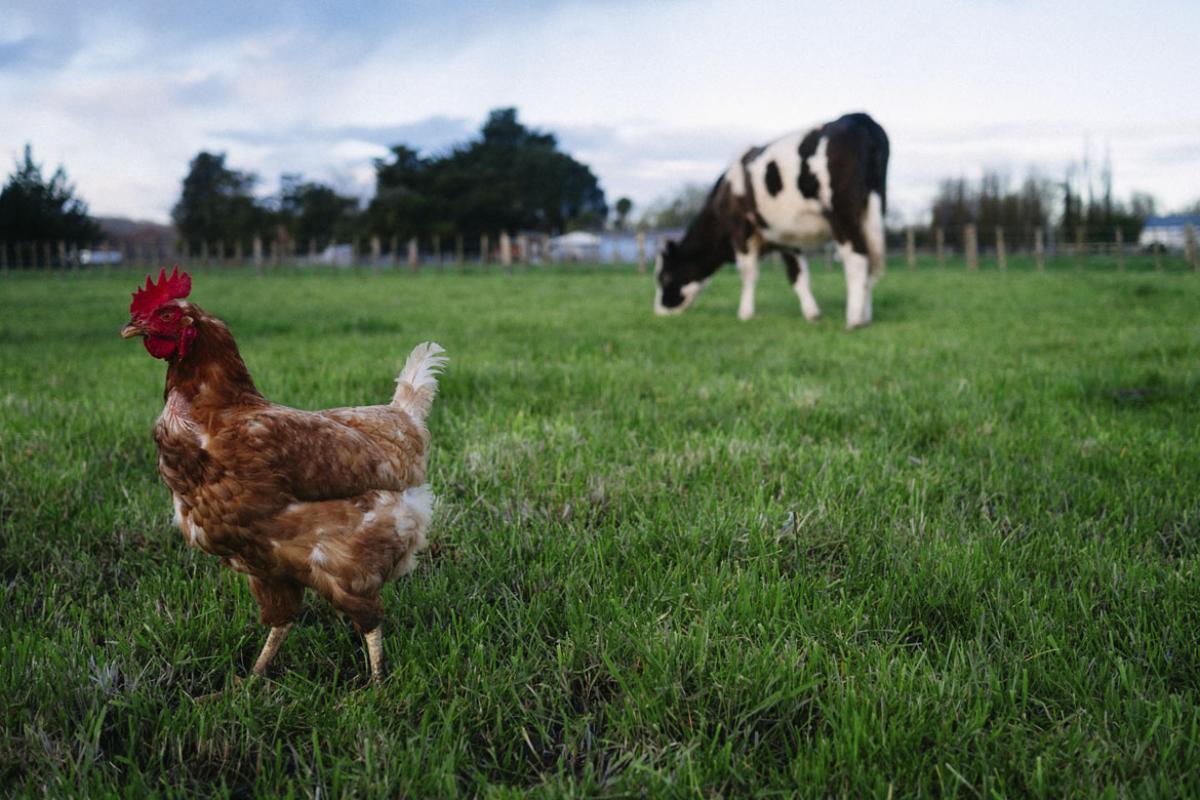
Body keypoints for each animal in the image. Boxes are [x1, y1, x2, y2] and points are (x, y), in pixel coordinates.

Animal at [654, 112, 889, 329]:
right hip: (872, 210)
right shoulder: (786, 236)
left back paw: (854, 319)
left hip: (842, 213)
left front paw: (745, 314)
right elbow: (798, 275)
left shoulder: (741, 228)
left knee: (857, 258)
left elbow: (748, 273)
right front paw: (812, 314)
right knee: (872, 262)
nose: (658, 310)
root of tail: (859, 117)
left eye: (664, 277)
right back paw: (865, 316)